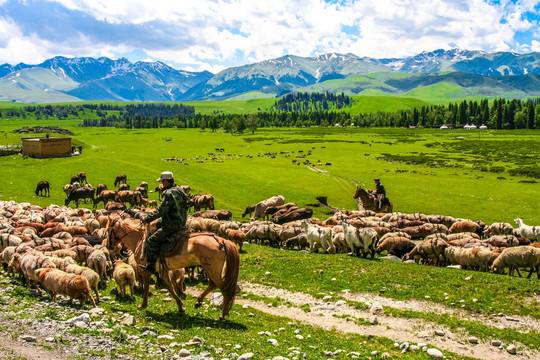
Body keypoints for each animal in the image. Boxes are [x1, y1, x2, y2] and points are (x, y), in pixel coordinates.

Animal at [105, 218, 238, 320]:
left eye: (108, 231)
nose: (107, 245)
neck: (139, 239)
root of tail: (221, 240)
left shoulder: (146, 269)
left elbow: (146, 288)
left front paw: (143, 305)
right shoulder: (163, 270)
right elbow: (170, 288)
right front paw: (181, 307)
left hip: (212, 269)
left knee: (225, 289)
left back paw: (222, 314)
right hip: (210, 269)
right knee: (214, 285)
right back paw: (199, 301)